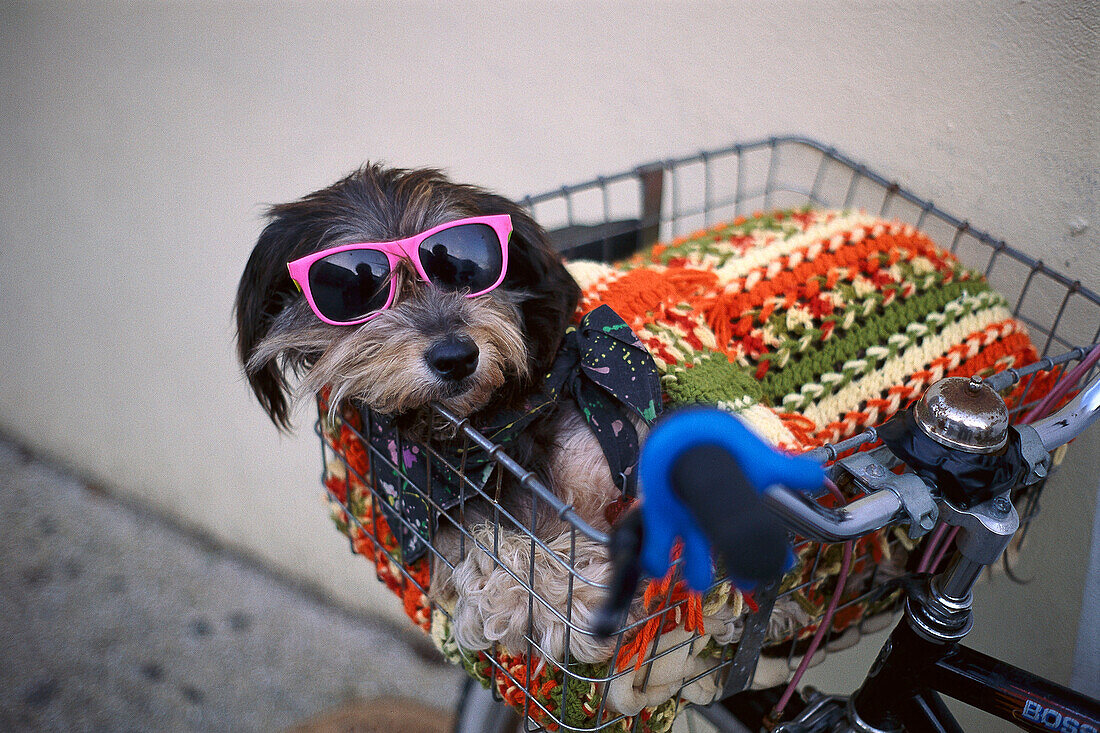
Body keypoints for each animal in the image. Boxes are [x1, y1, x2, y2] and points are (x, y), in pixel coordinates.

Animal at [235, 163, 642, 660]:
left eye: (463, 265)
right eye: (356, 286)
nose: (457, 357)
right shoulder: (424, 519)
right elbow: (482, 547)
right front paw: (559, 595)